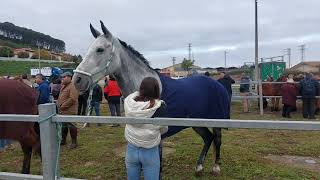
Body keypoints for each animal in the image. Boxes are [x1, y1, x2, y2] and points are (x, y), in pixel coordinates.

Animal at [73, 21, 230, 176]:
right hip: (197, 121)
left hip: (216, 120)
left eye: (99, 49)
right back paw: (199, 167)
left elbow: (158, 161)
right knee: (208, 138)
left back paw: (216, 167)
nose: (77, 80)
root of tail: (216, 84)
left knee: (217, 139)